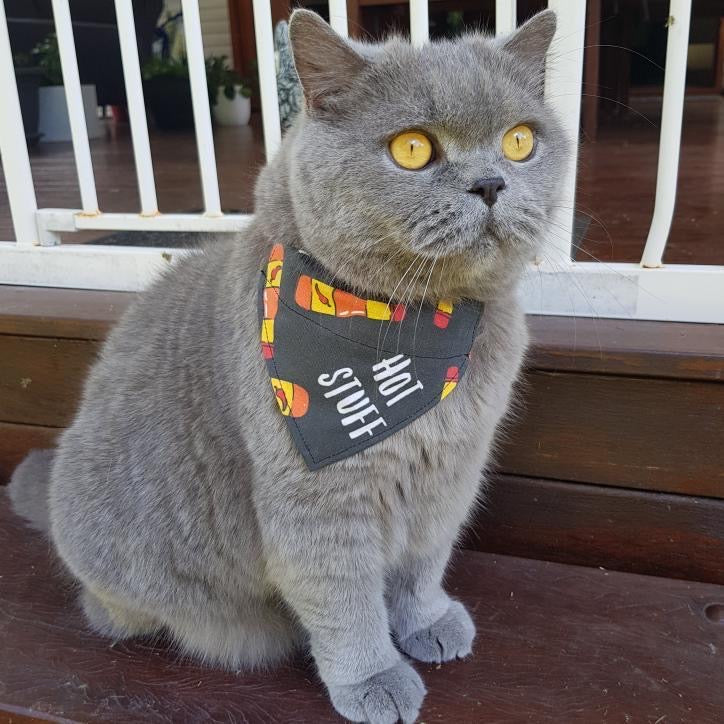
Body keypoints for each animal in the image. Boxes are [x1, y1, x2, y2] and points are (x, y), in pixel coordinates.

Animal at [8, 8, 568, 720]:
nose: (492, 183)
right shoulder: (317, 501)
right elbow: (344, 601)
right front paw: (373, 679)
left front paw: (426, 622)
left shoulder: (451, 473)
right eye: (413, 149)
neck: (424, 329)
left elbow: (422, 562)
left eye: (520, 141)